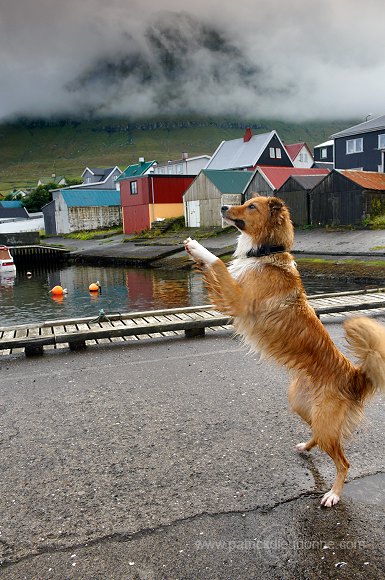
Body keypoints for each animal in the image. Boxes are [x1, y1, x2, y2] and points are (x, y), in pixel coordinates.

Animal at [183, 196, 384, 508]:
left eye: (251, 206)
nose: (223, 208)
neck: (265, 253)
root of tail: (353, 375)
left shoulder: (237, 299)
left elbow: (216, 262)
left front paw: (196, 247)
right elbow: (213, 269)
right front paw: (194, 254)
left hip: (325, 421)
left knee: (343, 462)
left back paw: (333, 494)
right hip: (301, 405)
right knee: (319, 437)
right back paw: (305, 446)